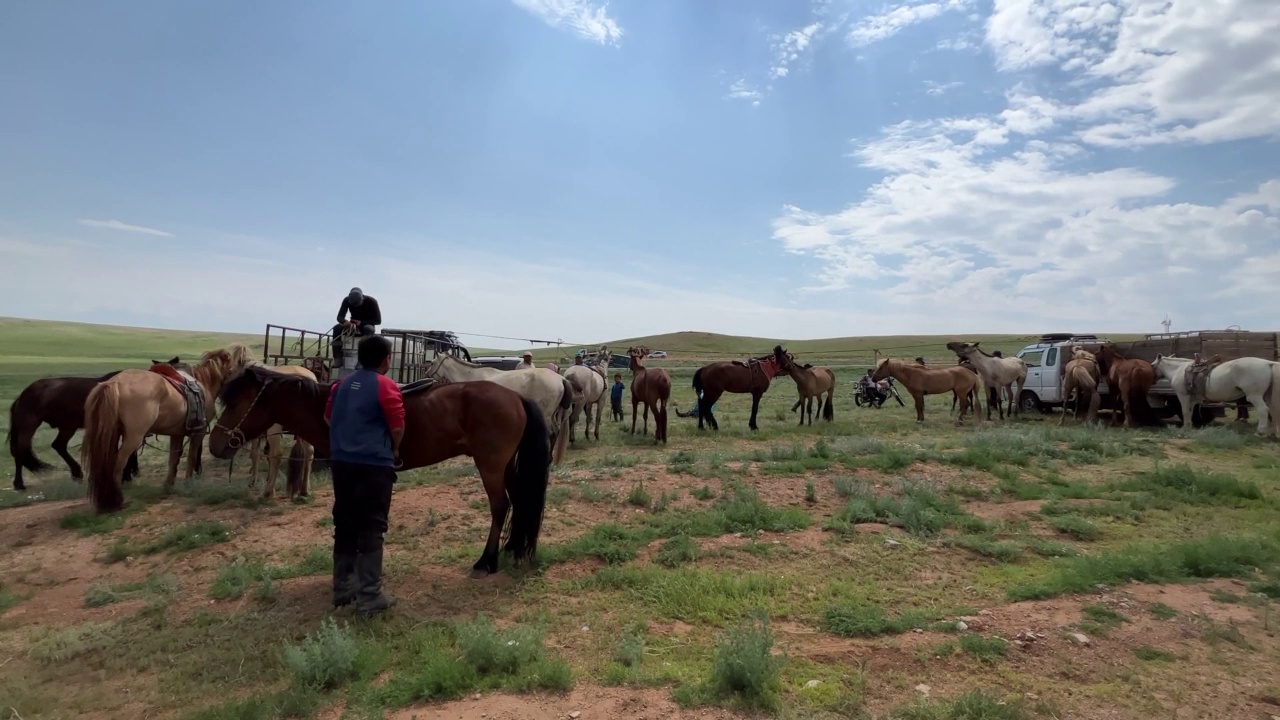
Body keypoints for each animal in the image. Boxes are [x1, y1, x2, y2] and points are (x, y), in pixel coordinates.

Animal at [81, 340, 253, 509]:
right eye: (240, 362)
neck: (205, 382)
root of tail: (114, 383)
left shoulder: (176, 433)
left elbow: (173, 459)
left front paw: (169, 485)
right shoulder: (198, 431)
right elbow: (191, 457)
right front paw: (188, 483)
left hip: (112, 433)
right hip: (133, 437)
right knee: (117, 464)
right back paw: (117, 501)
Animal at [241, 358, 317, 499]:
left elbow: (256, 453)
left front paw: (254, 480)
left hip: (275, 428)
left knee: (276, 454)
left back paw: (268, 492)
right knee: (309, 451)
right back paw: (304, 490)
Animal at [424, 351, 576, 461]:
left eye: (432, 362)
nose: (426, 375)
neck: (471, 377)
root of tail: (560, 378)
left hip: (546, 414)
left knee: (551, 433)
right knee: (555, 432)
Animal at [1152, 353, 1280, 438]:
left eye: (1152, 365)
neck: (1178, 369)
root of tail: (1267, 363)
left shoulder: (1183, 396)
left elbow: (1185, 411)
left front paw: (1185, 427)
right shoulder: (1192, 400)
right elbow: (1190, 412)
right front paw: (1189, 426)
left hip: (1254, 396)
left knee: (1263, 410)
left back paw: (1260, 432)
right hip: (1266, 396)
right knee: (1272, 411)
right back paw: (1271, 432)